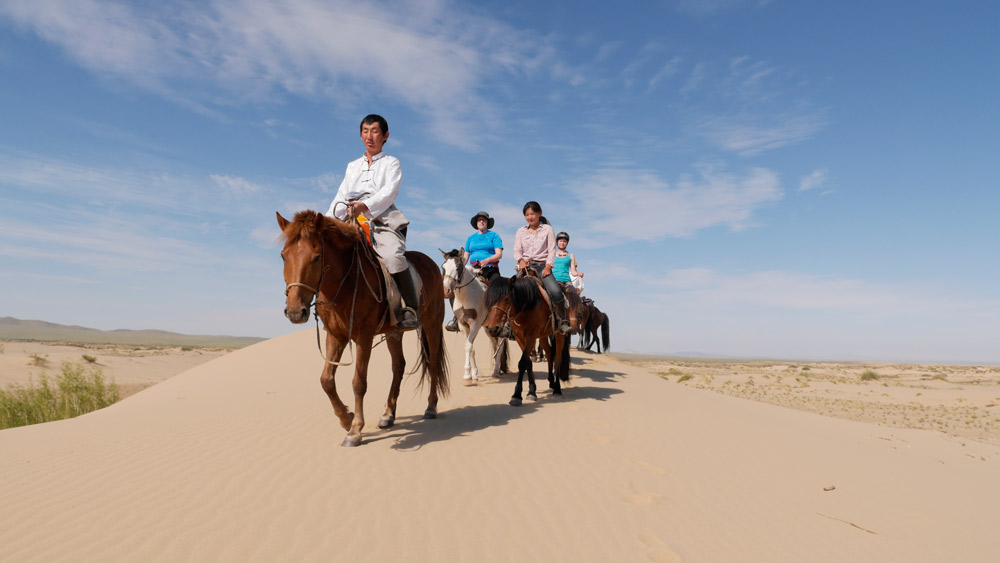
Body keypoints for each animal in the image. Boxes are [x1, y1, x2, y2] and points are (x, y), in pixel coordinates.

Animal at [274, 209, 446, 448]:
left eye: (316, 257)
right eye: (284, 256)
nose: (294, 312)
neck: (344, 283)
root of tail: (432, 264)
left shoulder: (364, 337)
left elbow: (358, 382)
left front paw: (355, 430)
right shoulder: (336, 337)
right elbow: (326, 380)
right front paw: (346, 418)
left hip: (432, 324)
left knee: (433, 364)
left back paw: (431, 407)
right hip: (394, 332)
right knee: (398, 366)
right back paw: (388, 414)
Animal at [442, 249, 512, 386]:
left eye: (458, 267)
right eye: (443, 267)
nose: (446, 290)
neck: (467, 297)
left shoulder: (475, 324)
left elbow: (468, 347)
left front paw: (466, 376)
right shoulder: (463, 325)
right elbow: (471, 348)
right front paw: (473, 375)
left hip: (500, 327)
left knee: (500, 347)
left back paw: (496, 371)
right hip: (489, 328)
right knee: (494, 345)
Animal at [484, 274, 572, 406]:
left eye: (506, 299)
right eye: (489, 299)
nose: (492, 329)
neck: (527, 305)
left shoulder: (531, 337)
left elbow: (522, 363)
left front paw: (516, 395)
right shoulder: (520, 337)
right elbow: (528, 363)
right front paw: (531, 391)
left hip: (559, 334)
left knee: (557, 358)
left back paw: (557, 388)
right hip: (543, 336)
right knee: (549, 354)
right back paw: (551, 382)